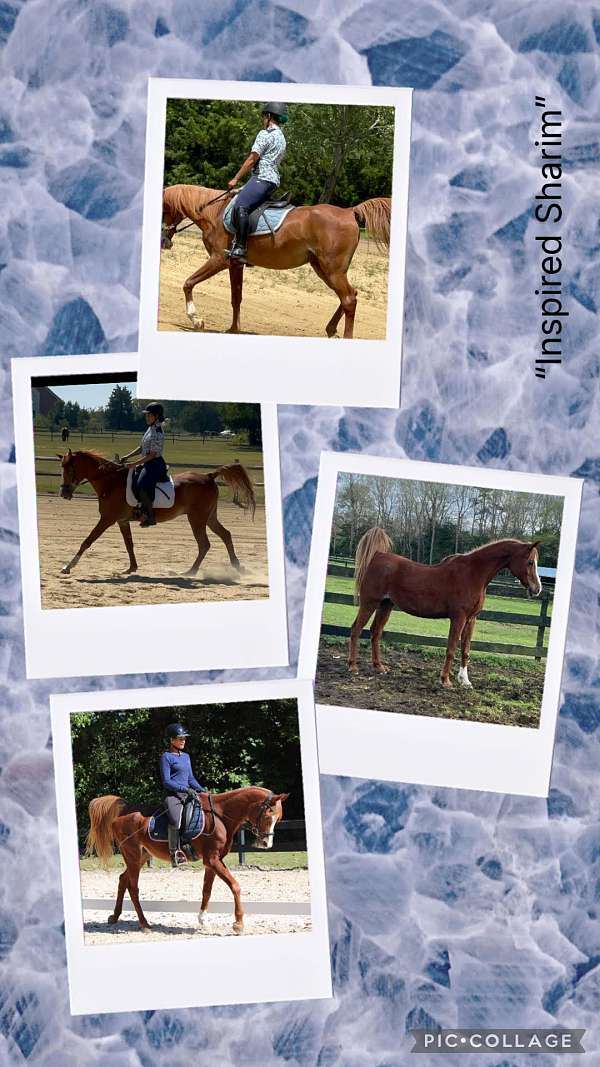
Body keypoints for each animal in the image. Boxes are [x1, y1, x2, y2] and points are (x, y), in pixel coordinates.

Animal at [56, 449, 255, 577]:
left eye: (71, 468)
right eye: (61, 468)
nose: (64, 493)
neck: (111, 482)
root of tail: (209, 476)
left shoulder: (107, 519)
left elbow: (87, 541)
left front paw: (67, 567)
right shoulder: (122, 521)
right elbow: (129, 544)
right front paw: (131, 569)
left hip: (197, 518)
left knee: (204, 544)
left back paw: (190, 572)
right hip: (209, 517)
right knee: (225, 535)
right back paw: (237, 567)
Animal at [86, 787, 289, 935]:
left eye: (278, 818)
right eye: (268, 815)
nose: (266, 843)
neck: (221, 817)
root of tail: (125, 810)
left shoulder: (213, 861)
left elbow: (207, 890)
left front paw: (203, 921)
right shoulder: (212, 860)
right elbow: (235, 886)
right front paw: (238, 924)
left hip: (141, 857)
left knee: (123, 879)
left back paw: (114, 916)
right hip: (133, 856)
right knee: (134, 888)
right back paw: (144, 924)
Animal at [161, 184, 391, 339]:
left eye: (164, 209)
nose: (164, 242)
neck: (214, 214)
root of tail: (348, 211)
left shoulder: (219, 260)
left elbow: (188, 283)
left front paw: (196, 319)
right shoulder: (235, 264)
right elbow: (236, 298)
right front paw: (233, 329)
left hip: (333, 270)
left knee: (349, 299)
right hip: (323, 269)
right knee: (349, 296)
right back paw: (331, 329)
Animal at [349, 527, 543, 688]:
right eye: (530, 562)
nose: (537, 589)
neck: (473, 574)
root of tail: (377, 555)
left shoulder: (471, 619)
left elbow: (465, 650)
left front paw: (465, 681)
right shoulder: (459, 618)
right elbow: (451, 648)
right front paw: (445, 680)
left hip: (385, 605)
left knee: (375, 632)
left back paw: (379, 667)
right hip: (369, 603)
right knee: (356, 629)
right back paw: (353, 667)